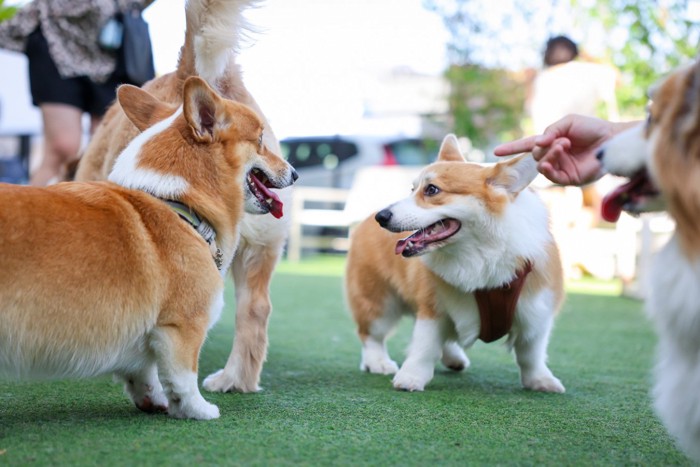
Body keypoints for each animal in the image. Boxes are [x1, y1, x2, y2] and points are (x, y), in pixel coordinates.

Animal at [0, 77, 296, 420]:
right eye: (261, 140)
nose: (295, 173)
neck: (176, 201)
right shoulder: (182, 325)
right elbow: (183, 376)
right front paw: (197, 409)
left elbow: (144, 371)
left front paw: (154, 400)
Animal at [75, 0, 286, 394]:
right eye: (260, 141)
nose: (294, 174)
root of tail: (189, 74)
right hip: (258, 248)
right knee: (255, 309)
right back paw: (235, 380)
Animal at [348, 135, 568, 394]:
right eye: (413, 189)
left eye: (432, 189)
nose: (381, 217)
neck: (481, 252)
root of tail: (363, 220)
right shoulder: (432, 307)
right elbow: (425, 346)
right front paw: (411, 378)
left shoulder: (536, 312)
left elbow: (531, 354)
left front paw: (540, 380)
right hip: (379, 301)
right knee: (370, 334)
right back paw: (378, 362)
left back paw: (453, 358)